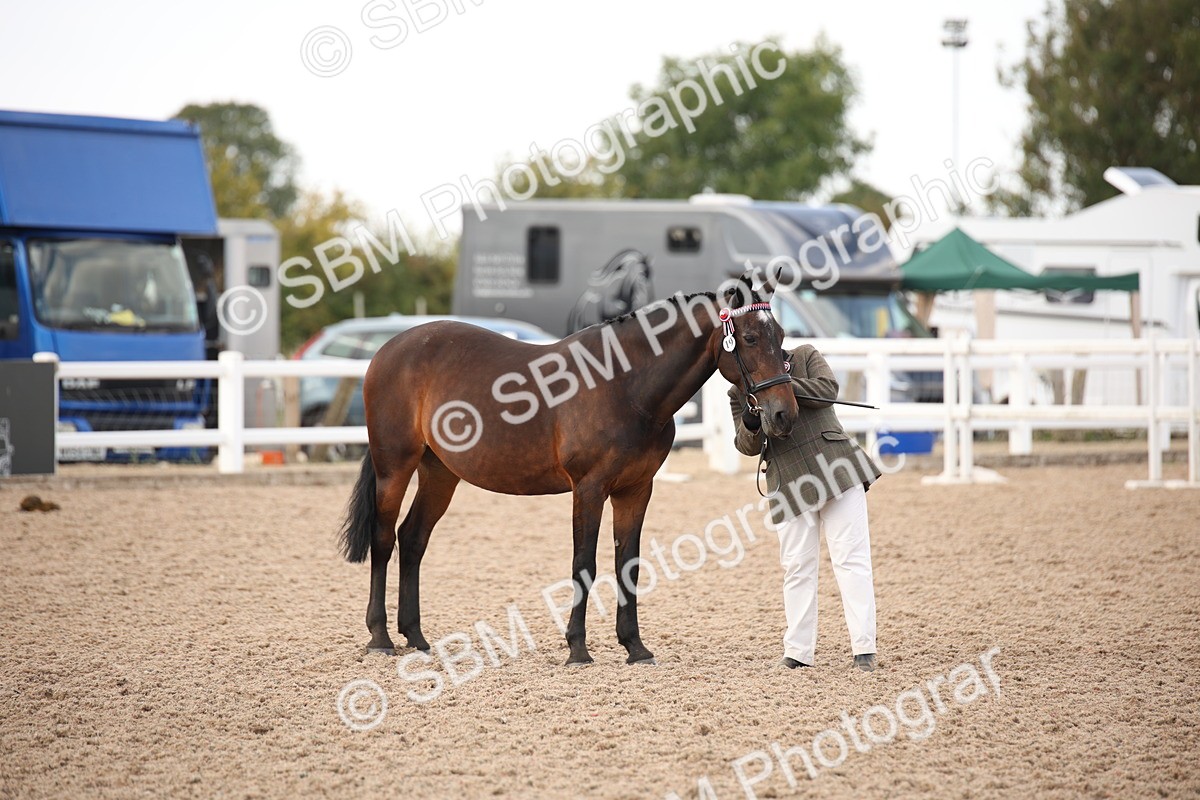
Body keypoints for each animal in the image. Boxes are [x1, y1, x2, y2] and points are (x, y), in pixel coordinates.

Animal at [338, 272, 799, 665]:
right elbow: (584, 564)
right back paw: (380, 638)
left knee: (413, 539)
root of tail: (387, 350)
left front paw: (635, 647)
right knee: (383, 538)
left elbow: (627, 564)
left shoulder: (636, 489)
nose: (783, 415)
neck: (626, 387)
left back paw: (415, 637)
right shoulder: (589, 488)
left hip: (439, 473)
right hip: (394, 466)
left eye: (781, 337)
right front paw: (577, 648)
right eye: (750, 337)